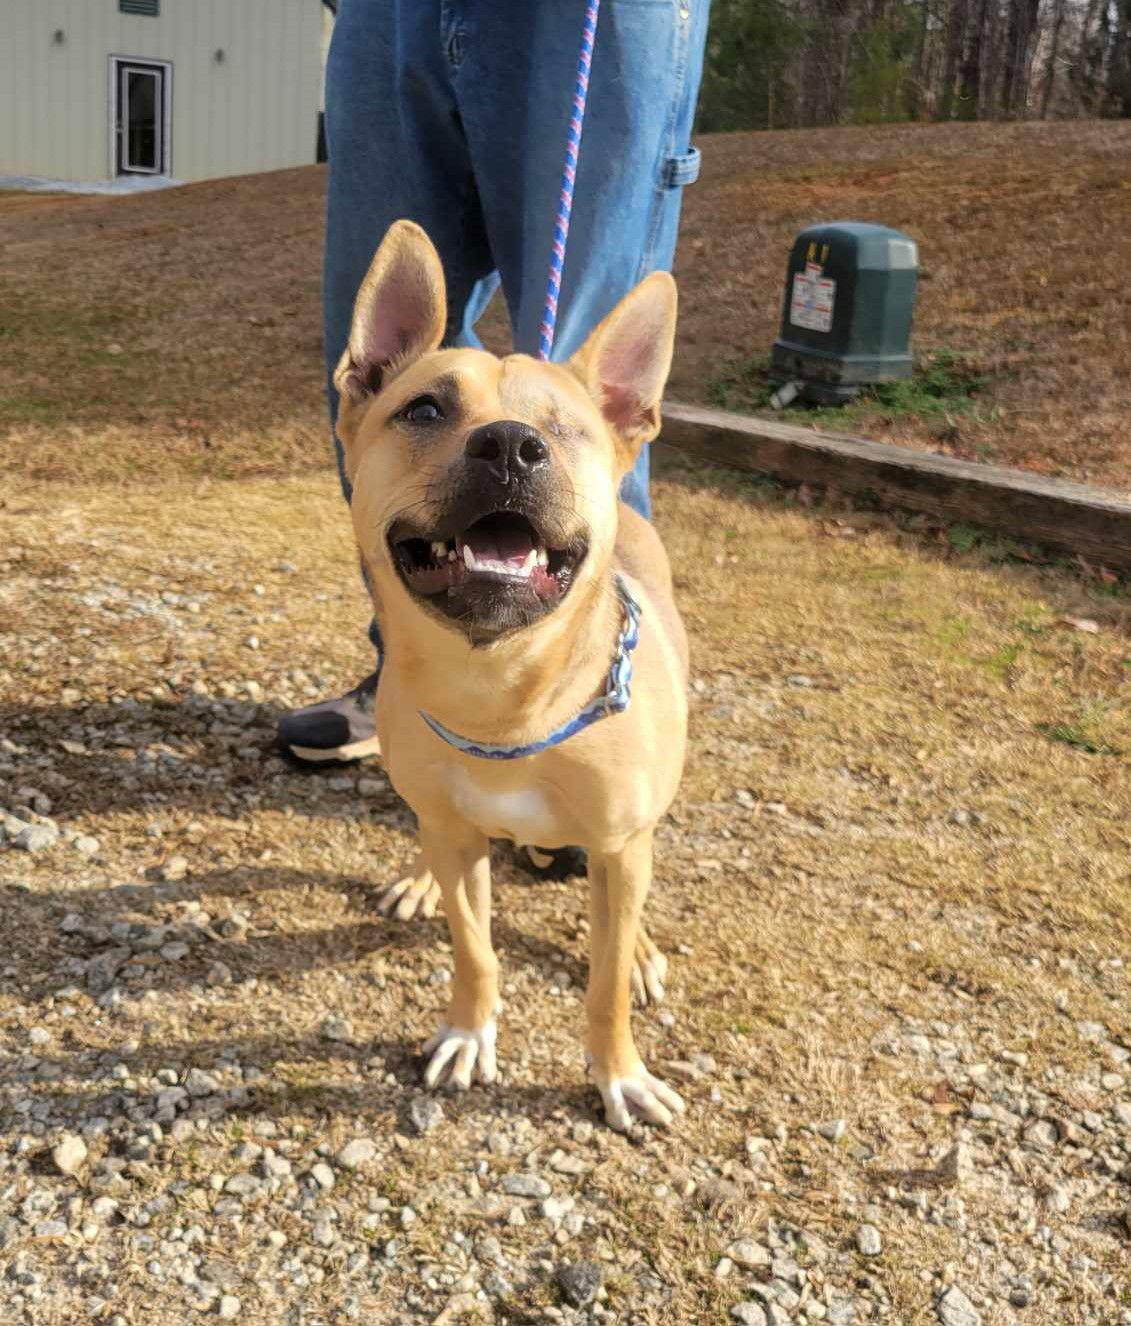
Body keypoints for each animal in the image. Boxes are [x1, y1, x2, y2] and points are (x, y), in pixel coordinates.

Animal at [331, 217, 689, 1129]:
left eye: (563, 430)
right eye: (424, 408)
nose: (508, 446)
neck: (504, 700)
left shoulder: (619, 848)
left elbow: (603, 985)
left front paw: (618, 1072)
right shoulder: (459, 838)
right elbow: (474, 951)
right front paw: (468, 1032)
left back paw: (642, 949)